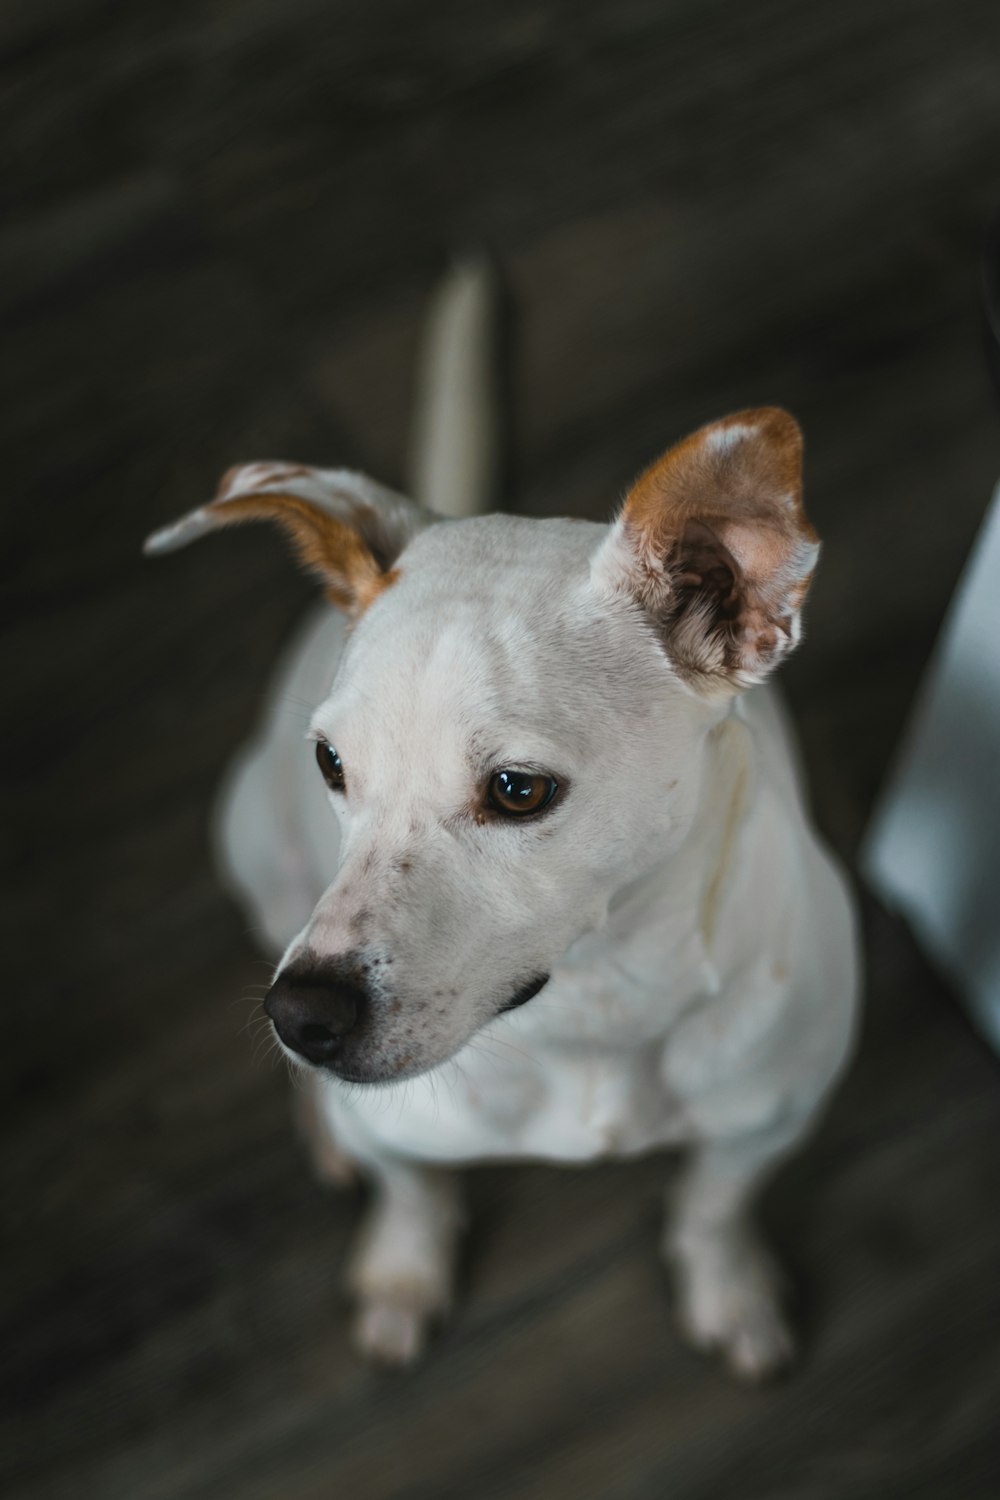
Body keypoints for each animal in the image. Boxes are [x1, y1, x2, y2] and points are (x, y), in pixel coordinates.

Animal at [146, 264, 863, 1374]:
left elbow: (713, 1207)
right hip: (252, 847)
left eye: (518, 790)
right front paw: (404, 1273)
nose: (300, 1020)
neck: (594, 1011)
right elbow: (413, 1195)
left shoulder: (764, 1126)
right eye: (331, 764)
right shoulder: (398, 1137)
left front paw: (731, 1287)